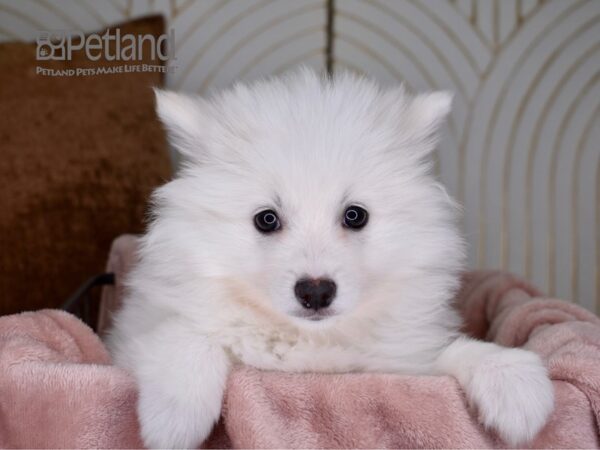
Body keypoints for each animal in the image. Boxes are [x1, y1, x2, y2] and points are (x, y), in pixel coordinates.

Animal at [106, 68, 552, 448]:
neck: (310, 341)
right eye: (266, 219)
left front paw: (514, 380)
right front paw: (174, 419)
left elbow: (453, 353)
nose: (316, 292)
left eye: (355, 215)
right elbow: (185, 335)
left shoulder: (402, 365)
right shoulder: (131, 336)